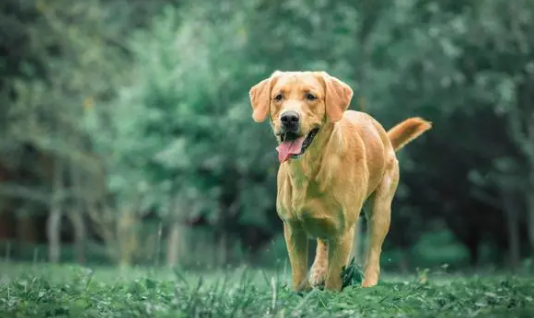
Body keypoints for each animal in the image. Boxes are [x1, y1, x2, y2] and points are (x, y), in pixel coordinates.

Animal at [249, 70, 434, 290]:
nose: (289, 118)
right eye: (278, 97)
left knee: (373, 253)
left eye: (311, 96)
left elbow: (334, 278)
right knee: (323, 243)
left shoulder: (343, 232)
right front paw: (303, 291)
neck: (309, 170)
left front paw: (330, 293)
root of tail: (384, 136)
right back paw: (318, 271)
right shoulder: (292, 228)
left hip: (380, 210)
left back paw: (368, 285)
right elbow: (299, 274)